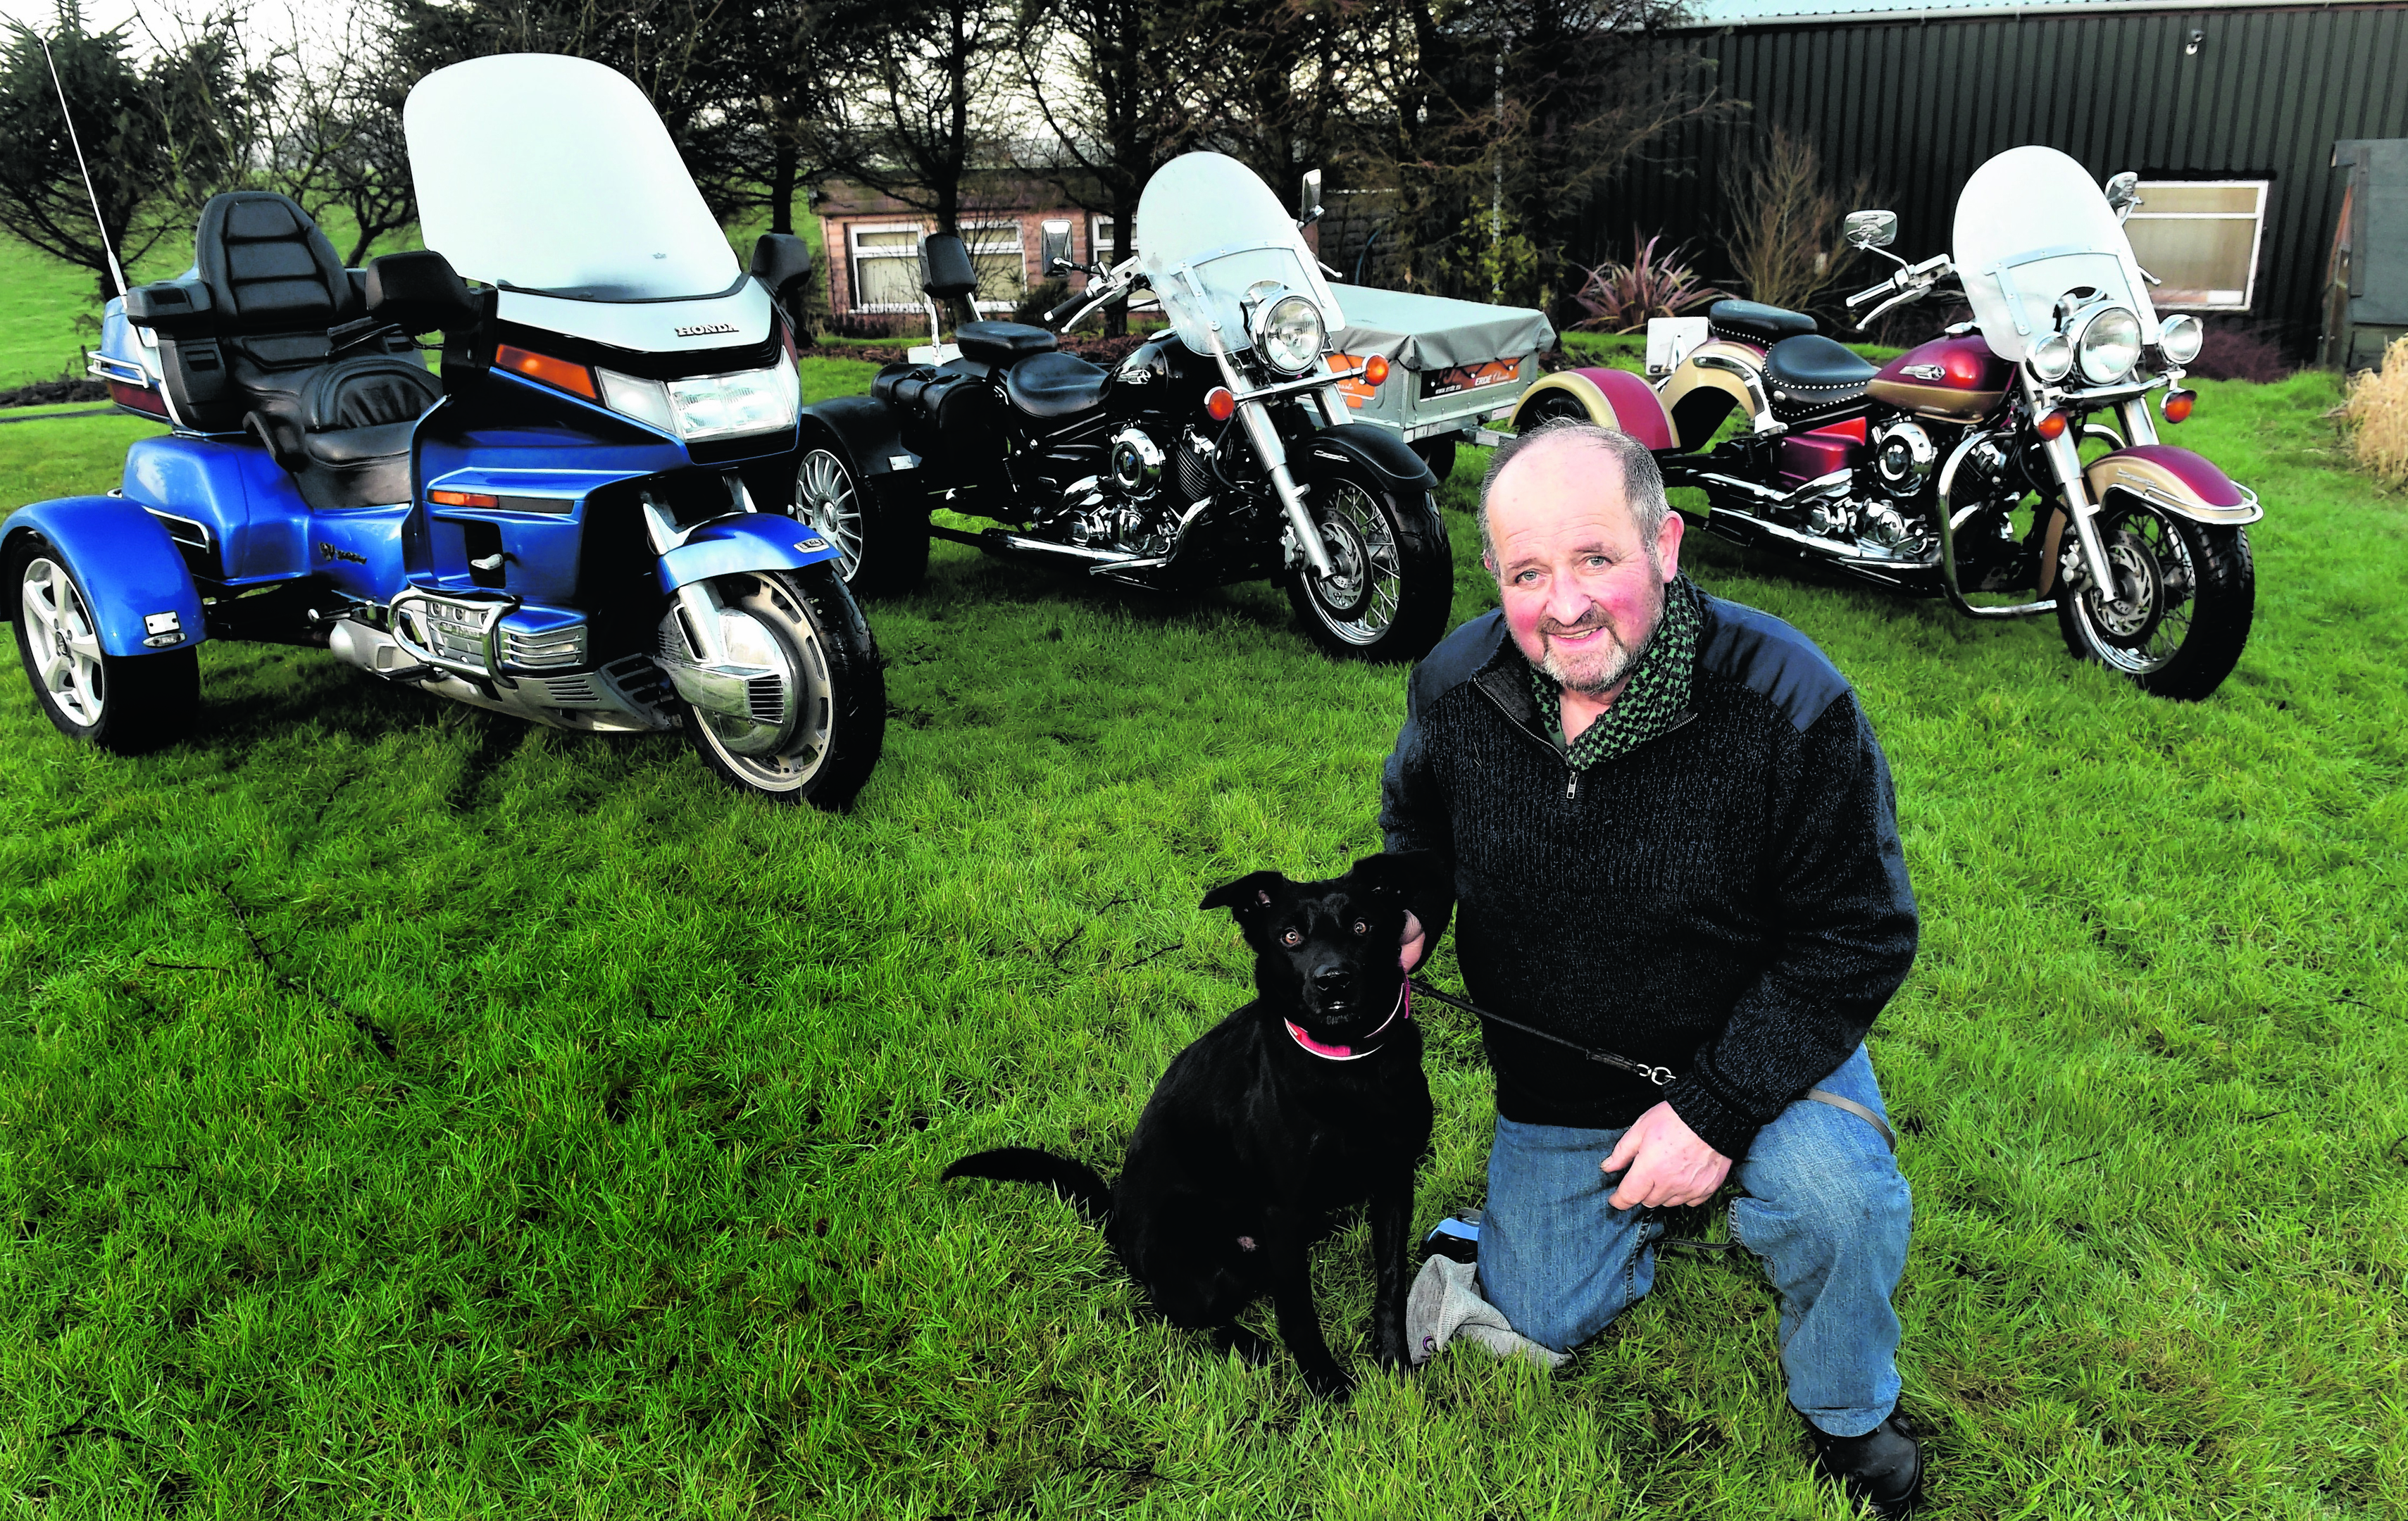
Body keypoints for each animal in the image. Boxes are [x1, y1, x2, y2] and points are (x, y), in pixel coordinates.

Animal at [939, 851, 1426, 1396]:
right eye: (1290, 937)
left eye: (1362, 927)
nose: (1332, 980)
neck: (1347, 1070)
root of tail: (1115, 1224)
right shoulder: (1282, 1212)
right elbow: (1299, 1310)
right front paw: (1325, 1382)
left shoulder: (1393, 1182)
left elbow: (1391, 1280)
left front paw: (1395, 1363)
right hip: (1200, 1267)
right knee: (1185, 1312)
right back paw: (1249, 1344)